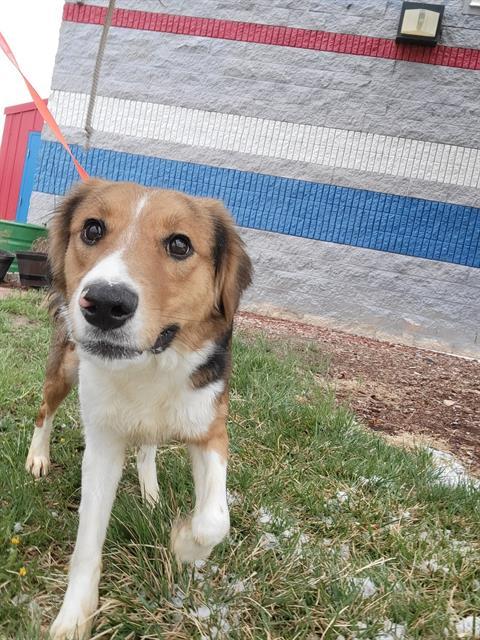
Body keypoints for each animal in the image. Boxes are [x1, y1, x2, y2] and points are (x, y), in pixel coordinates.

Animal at [25, 178, 255, 636]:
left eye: (180, 244)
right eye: (92, 229)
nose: (104, 303)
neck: (151, 362)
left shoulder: (211, 430)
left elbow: (214, 520)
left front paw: (183, 544)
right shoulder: (103, 444)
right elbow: (87, 543)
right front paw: (74, 616)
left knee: (148, 446)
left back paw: (150, 493)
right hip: (65, 369)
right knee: (45, 411)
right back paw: (38, 456)